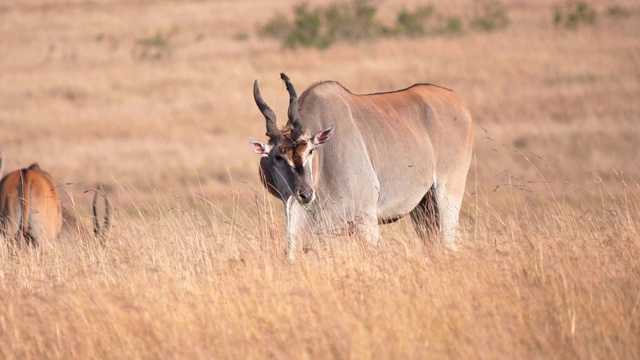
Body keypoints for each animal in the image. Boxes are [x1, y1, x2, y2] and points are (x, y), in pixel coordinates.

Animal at [250, 73, 476, 260]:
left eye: (311, 151)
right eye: (277, 157)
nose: (304, 194)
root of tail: (460, 102)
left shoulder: (366, 222)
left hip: (448, 194)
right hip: (423, 207)